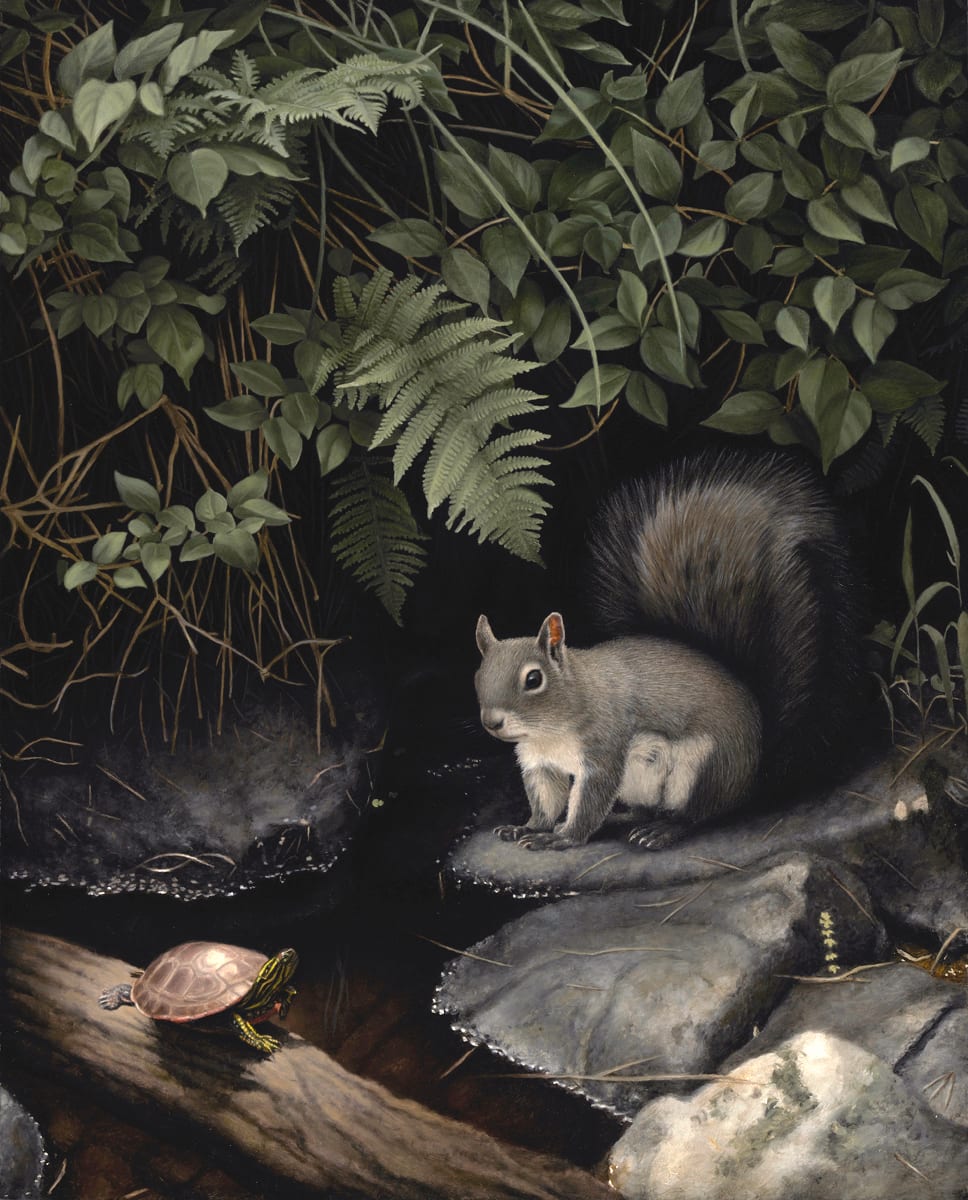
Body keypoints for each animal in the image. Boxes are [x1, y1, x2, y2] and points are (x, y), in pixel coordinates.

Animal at [474, 450, 860, 851]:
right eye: (479, 673)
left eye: (534, 679)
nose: (491, 722)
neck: (550, 727)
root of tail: (751, 774)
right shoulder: (539, 763)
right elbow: (546, 800)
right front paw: (528, 827)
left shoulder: (604, 748)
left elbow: (589, 801)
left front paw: (563, 838)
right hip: (642, 780)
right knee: (646, 809)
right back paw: (625, 818)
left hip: (698, 769)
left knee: (695, 815)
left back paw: (662, 831)